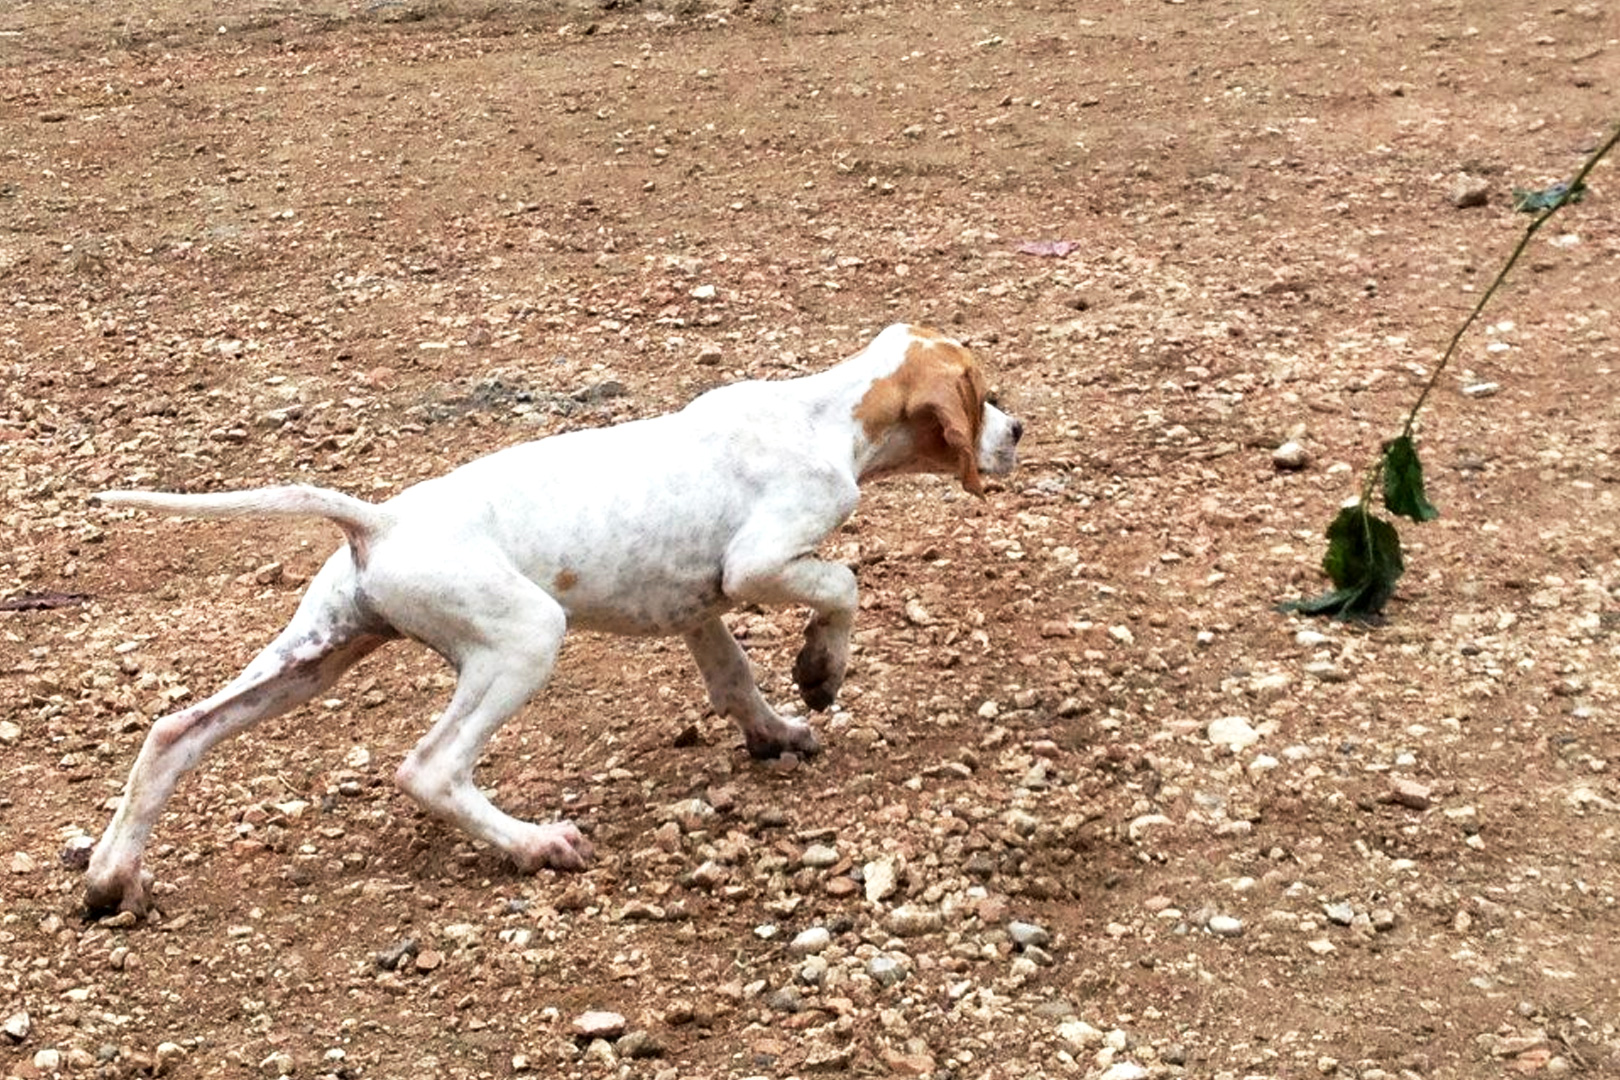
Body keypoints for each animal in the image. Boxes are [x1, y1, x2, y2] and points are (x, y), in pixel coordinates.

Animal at [82, 320, 1017, 913]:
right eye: (982, 392)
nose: (1018, 429)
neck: (825, 413)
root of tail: (379, 522)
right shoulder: (758, 562)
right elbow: (843, 584)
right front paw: (821, 674)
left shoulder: (696, 604)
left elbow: (734, 680)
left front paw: (776, 732)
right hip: (523, 640)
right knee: (429, 769)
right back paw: (535, 845)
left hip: (315, 654)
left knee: (173, 734)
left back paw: (111, 877)